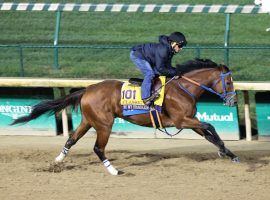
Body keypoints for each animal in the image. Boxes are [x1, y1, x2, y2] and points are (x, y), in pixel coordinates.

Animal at [11, 57, 238, 175]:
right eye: (228, 82)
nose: (233, 101)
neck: (184, 89)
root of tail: (87, 89)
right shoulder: (182, 120)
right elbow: (210, 127)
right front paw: (224, 151)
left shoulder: (190, 121)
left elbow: (209, 134)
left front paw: (229, 153)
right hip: (104, 124)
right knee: (98, 148)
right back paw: (114, 170)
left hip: (88, 120)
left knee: (71, 139)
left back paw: (57, 161)